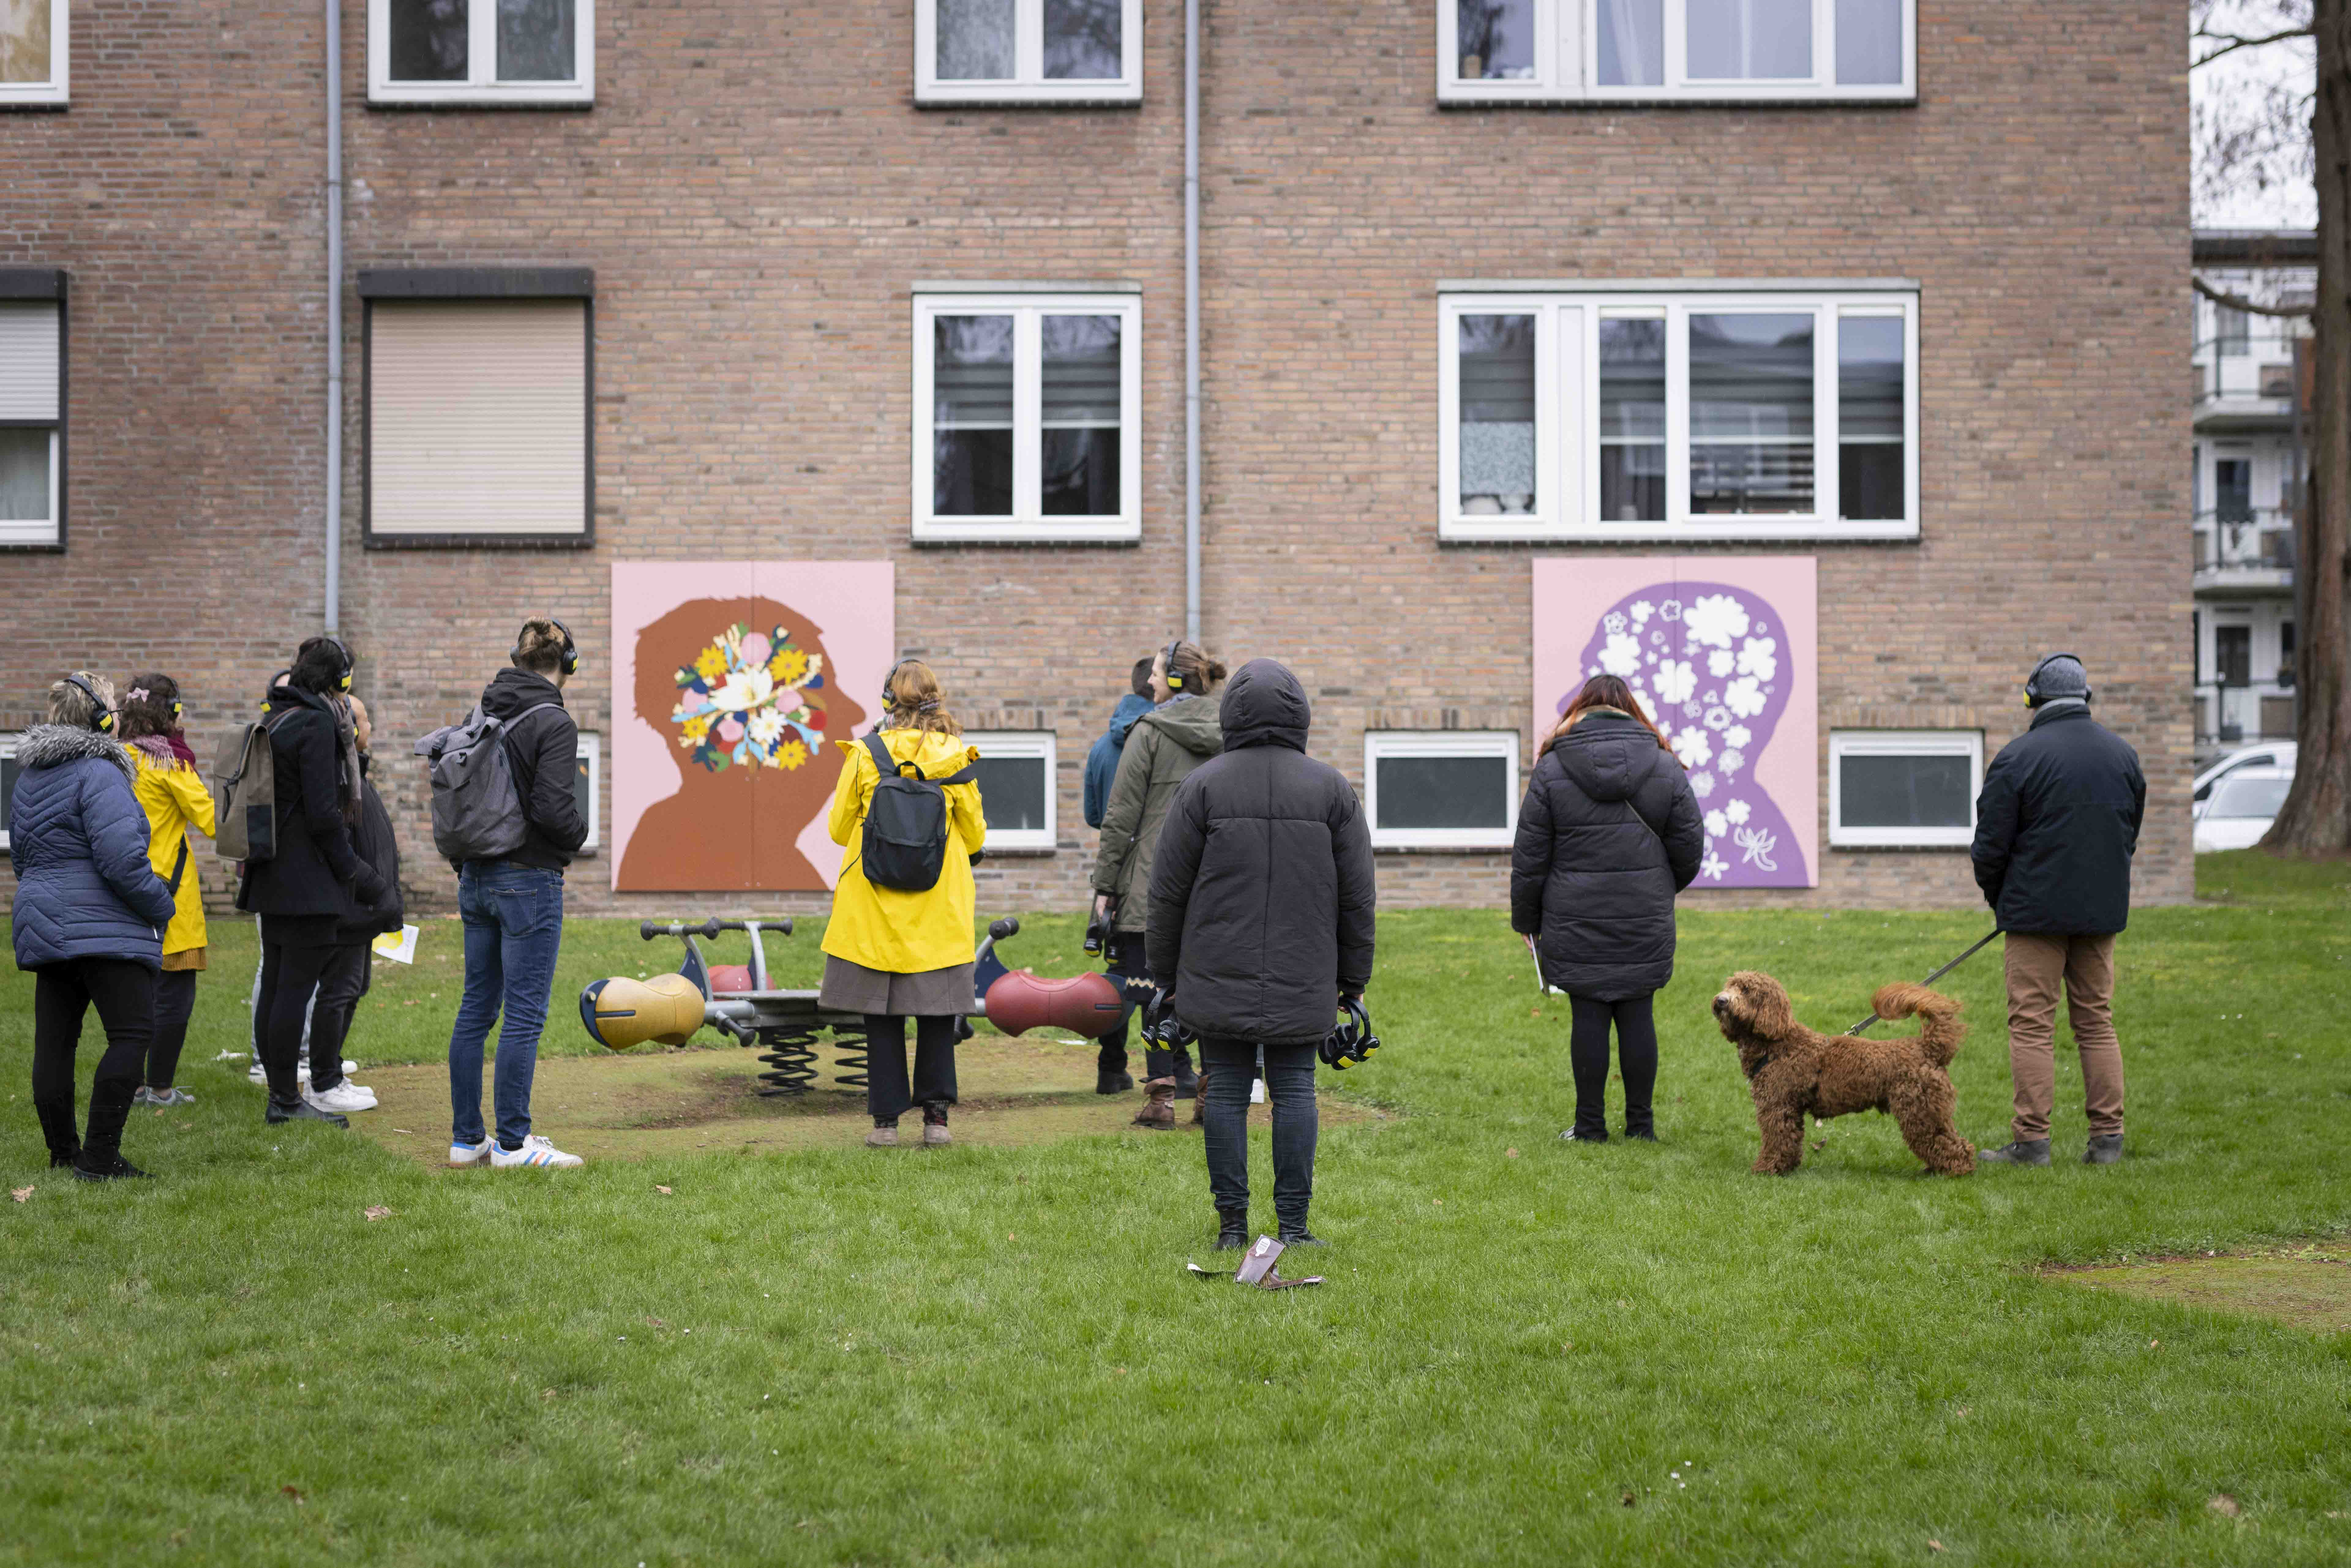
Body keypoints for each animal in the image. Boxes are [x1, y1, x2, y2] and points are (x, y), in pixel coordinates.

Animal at [1721, 968, 1975, 1175]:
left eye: (1746, 990)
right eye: (1729, 985)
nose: (1722, 1000)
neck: (1779, 1044)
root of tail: (1928, 1048)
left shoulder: (1776, 1106)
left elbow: (1776, 1140)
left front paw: (1767, 1168)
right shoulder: (1790, 1110)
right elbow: (1791, 1141)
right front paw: (1786, 1166)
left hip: (1920, 1112)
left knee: (1950, 1144)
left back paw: (1956, 1170)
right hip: (1930, 1110)